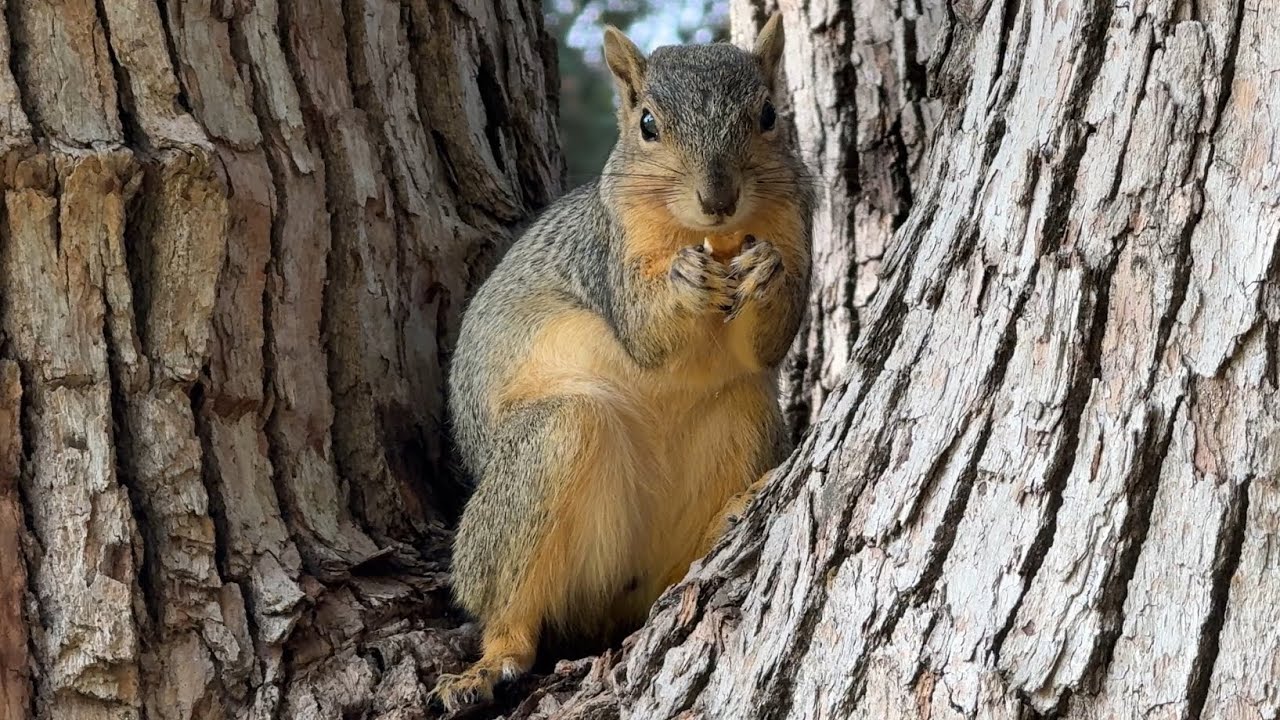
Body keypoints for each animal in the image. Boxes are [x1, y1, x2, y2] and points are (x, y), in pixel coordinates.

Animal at [432, 13, 813, 711]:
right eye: (648, 124)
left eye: (770, 115)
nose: (718, 198)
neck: (711, 236)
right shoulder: (609, 252)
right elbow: (644, 333)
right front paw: (683, 282)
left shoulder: (795, 223)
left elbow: (768, 342)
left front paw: (766, 272)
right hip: (546, 446)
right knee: (505, 607)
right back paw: (491, 661)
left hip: (741, 415)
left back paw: (731, 513)